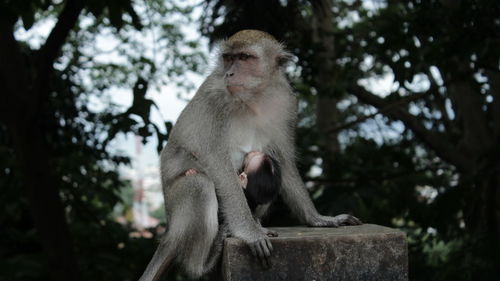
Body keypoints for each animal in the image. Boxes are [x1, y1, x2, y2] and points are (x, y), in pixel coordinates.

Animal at [139, 29, 362, 278]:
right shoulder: (214, 101)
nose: (229, 73)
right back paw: (201, 264)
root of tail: (169, 229)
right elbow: (218, 164)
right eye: (229, 58)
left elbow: (283, 160)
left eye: (245, 57)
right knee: (198, 183)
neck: (253, 97)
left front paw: (319, 219)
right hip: (176, 207)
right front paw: (250, 233)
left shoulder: (286, 103)